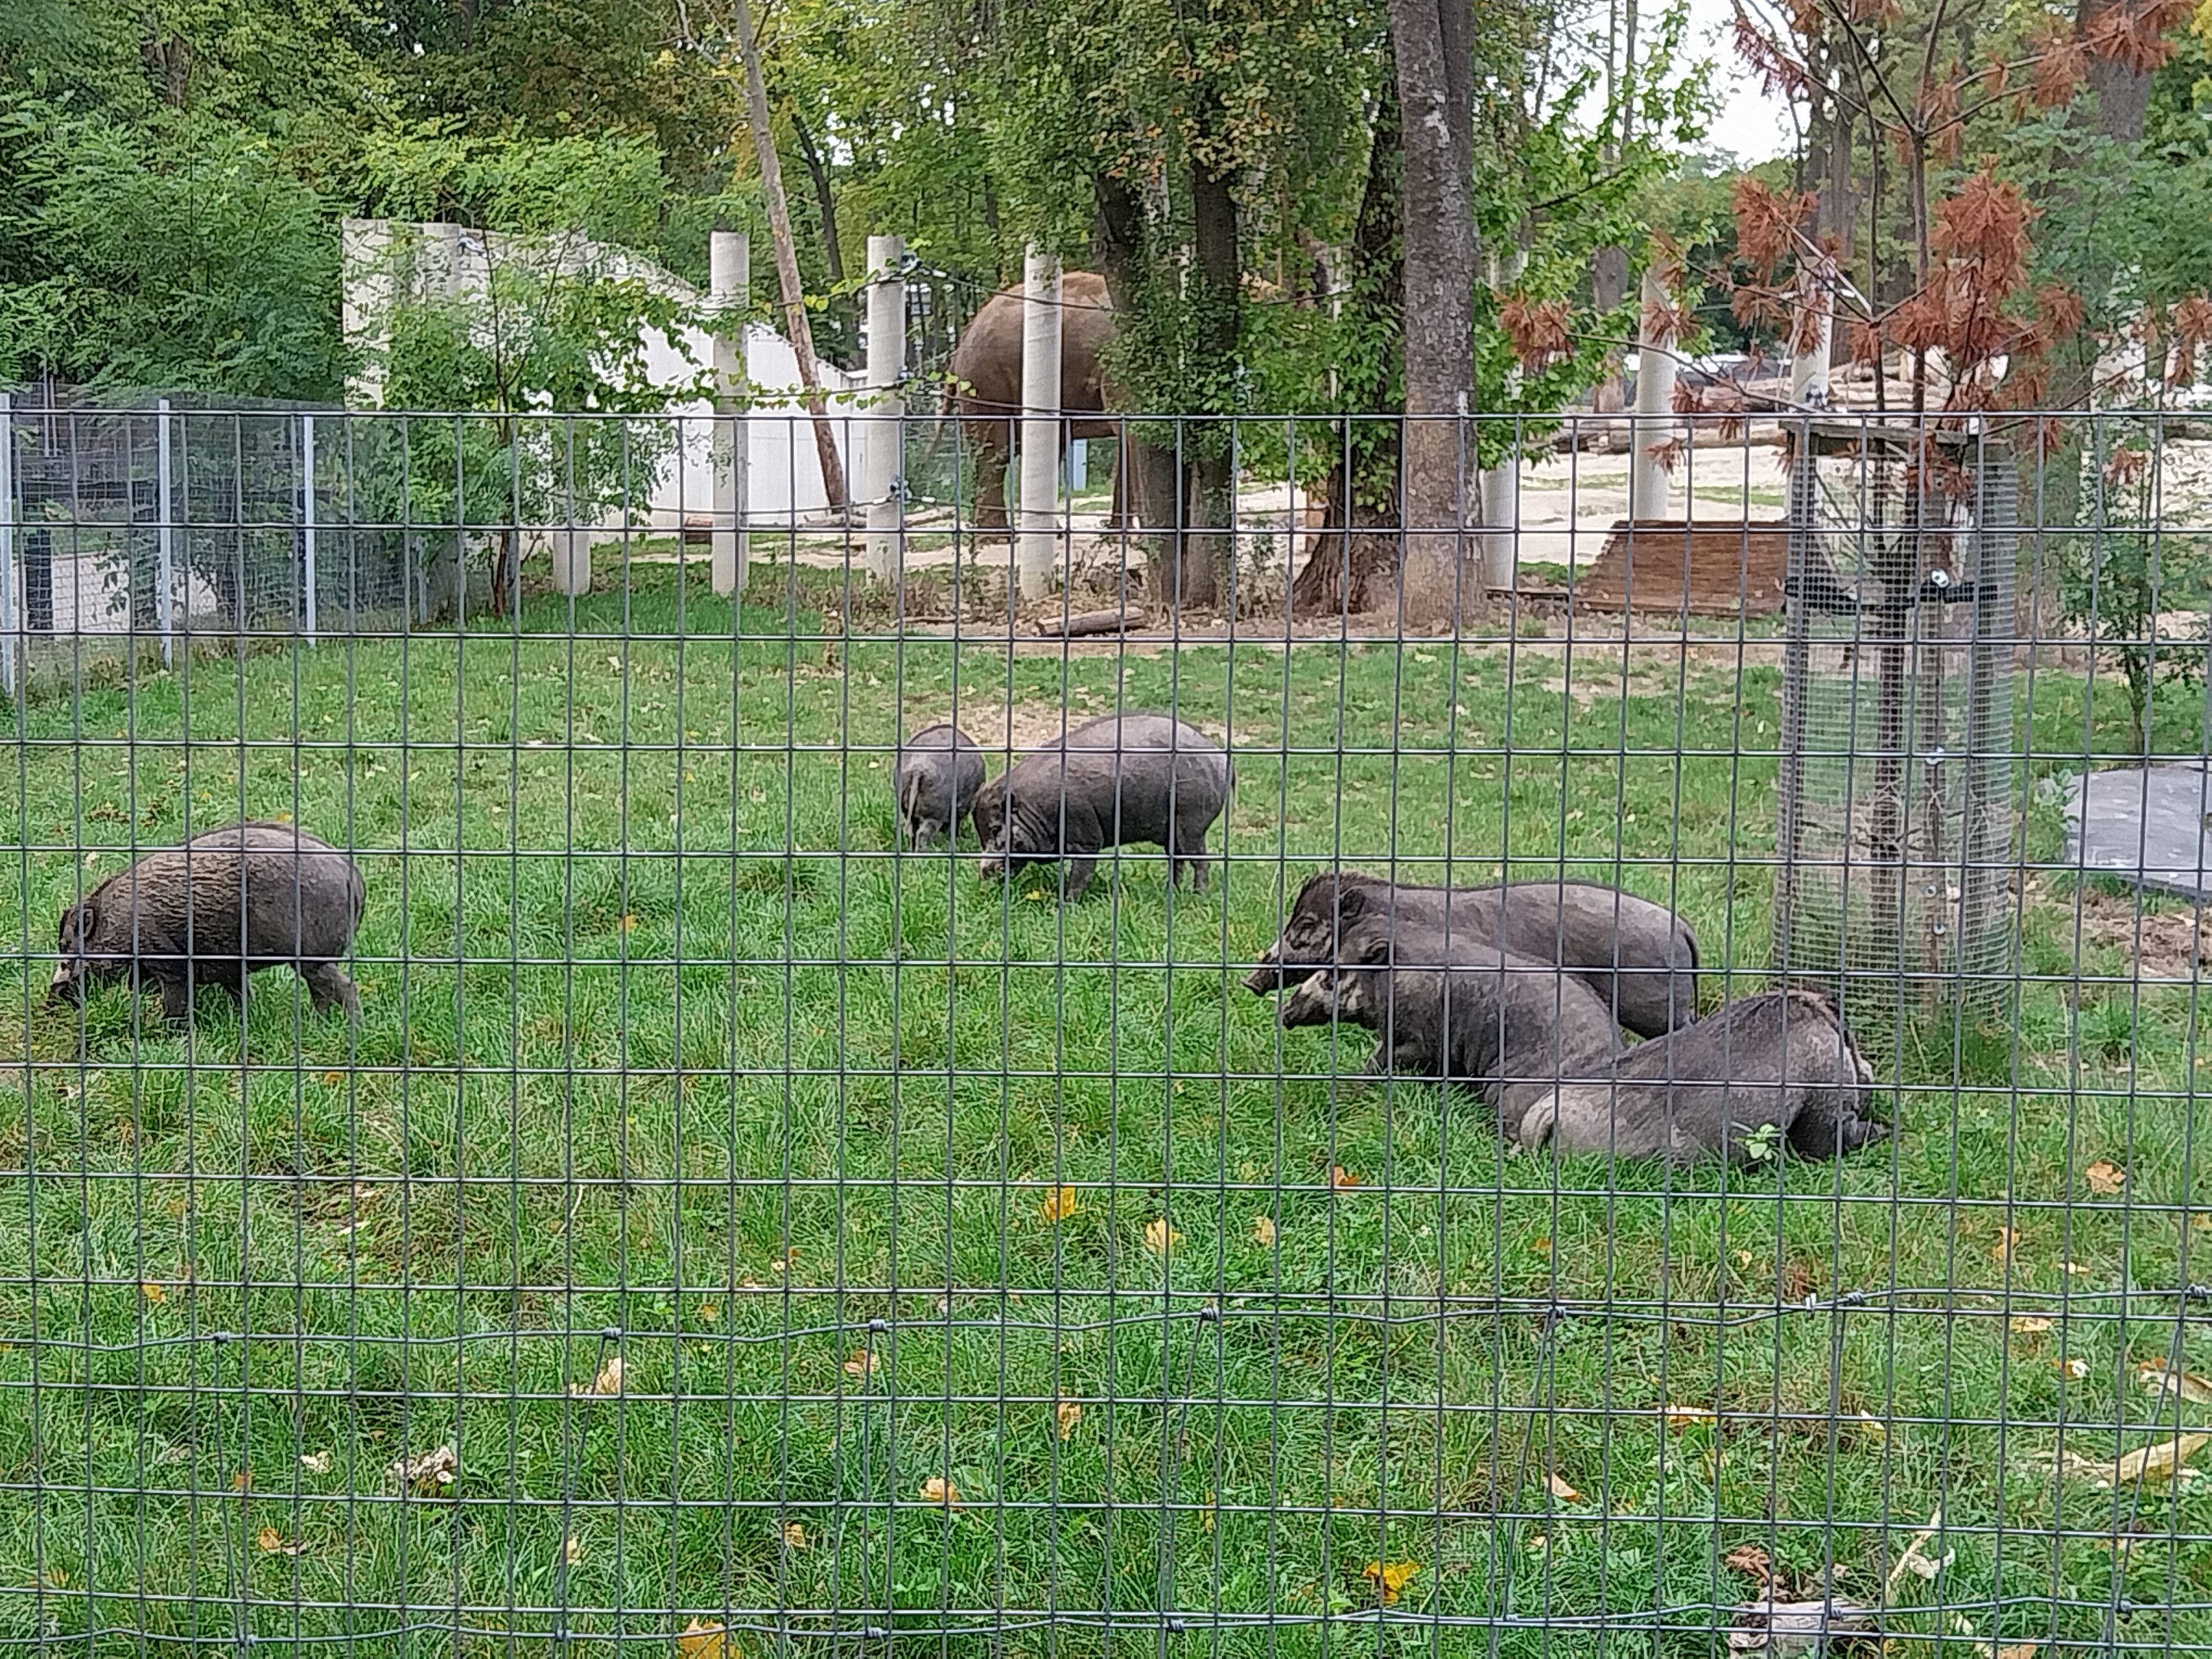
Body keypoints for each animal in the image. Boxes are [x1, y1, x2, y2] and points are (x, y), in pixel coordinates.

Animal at [50, 820, 367, 1025]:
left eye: (67, 945)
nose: (52, 996)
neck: (119, 928)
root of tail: (353, 876)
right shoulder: (228, 967)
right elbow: (242, 994)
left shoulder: (169, 963)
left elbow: (176, 1002)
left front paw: (164, 1031)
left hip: (314, 955)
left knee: (344, 987)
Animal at [977, 713, 1234, 901]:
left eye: (996, 829)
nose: (983, 870)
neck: (1037, 808)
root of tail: (1221, 756)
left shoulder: (1086, 837)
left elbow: (1081, 872)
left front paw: (1065, 904)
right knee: (1176, 861)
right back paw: (1170, 892)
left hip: (1192, 823)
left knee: (1200, 861)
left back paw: (1198, 898)